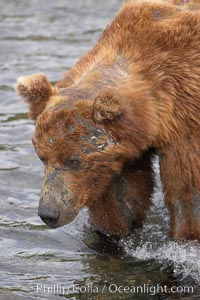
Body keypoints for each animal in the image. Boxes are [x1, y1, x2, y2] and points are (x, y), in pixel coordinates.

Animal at [16, 0, 200, 240]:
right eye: (42, 157)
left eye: (74, 160)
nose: (48, 213)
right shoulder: (117, 155)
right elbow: (121, 202)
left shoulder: (185, 121)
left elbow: (187, 194)